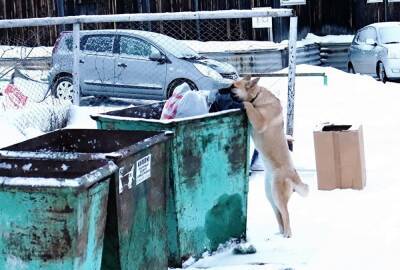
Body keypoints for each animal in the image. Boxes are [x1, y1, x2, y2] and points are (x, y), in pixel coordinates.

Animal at [233, 75, 308, 237]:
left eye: (233, 86)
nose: (221, 89)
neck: (257, 96)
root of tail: (294, 176)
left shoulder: (259, 121)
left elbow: (249, 105)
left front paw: (244, 103)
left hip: (277, 195)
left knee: (286, 214)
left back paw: (287, 235)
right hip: (270, 195)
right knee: (279, 214)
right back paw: (279, 234)